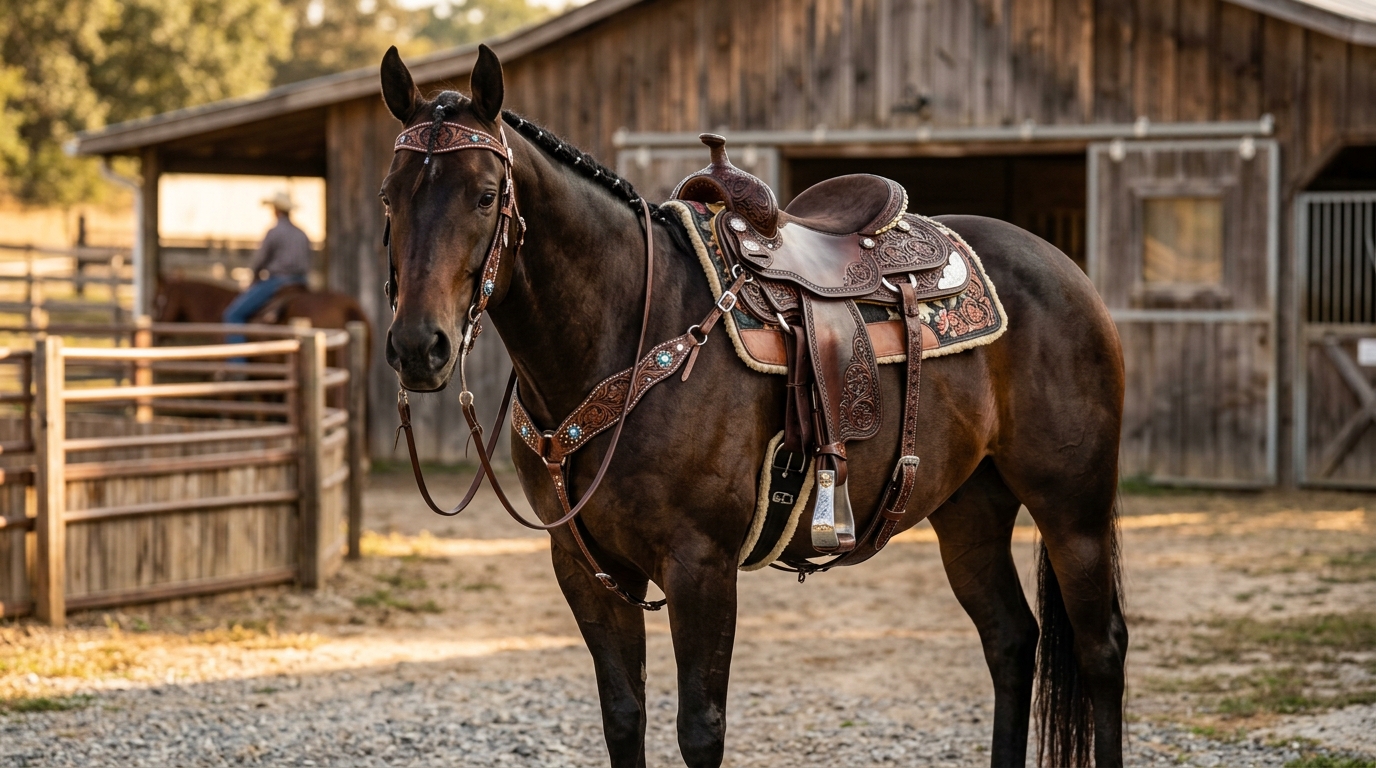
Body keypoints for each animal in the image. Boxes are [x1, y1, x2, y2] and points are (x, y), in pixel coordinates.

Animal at [379, 45, 1127, 768]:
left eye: (484, 196)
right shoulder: (585, 567)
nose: (419, 346)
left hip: (1073, 507)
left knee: (1102, 650)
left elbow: (700, 731)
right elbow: (623, 719)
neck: (627, 329)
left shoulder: (700, 565)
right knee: (1010, 639)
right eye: (389, 197)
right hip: (969, 506)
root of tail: (1064, 267)